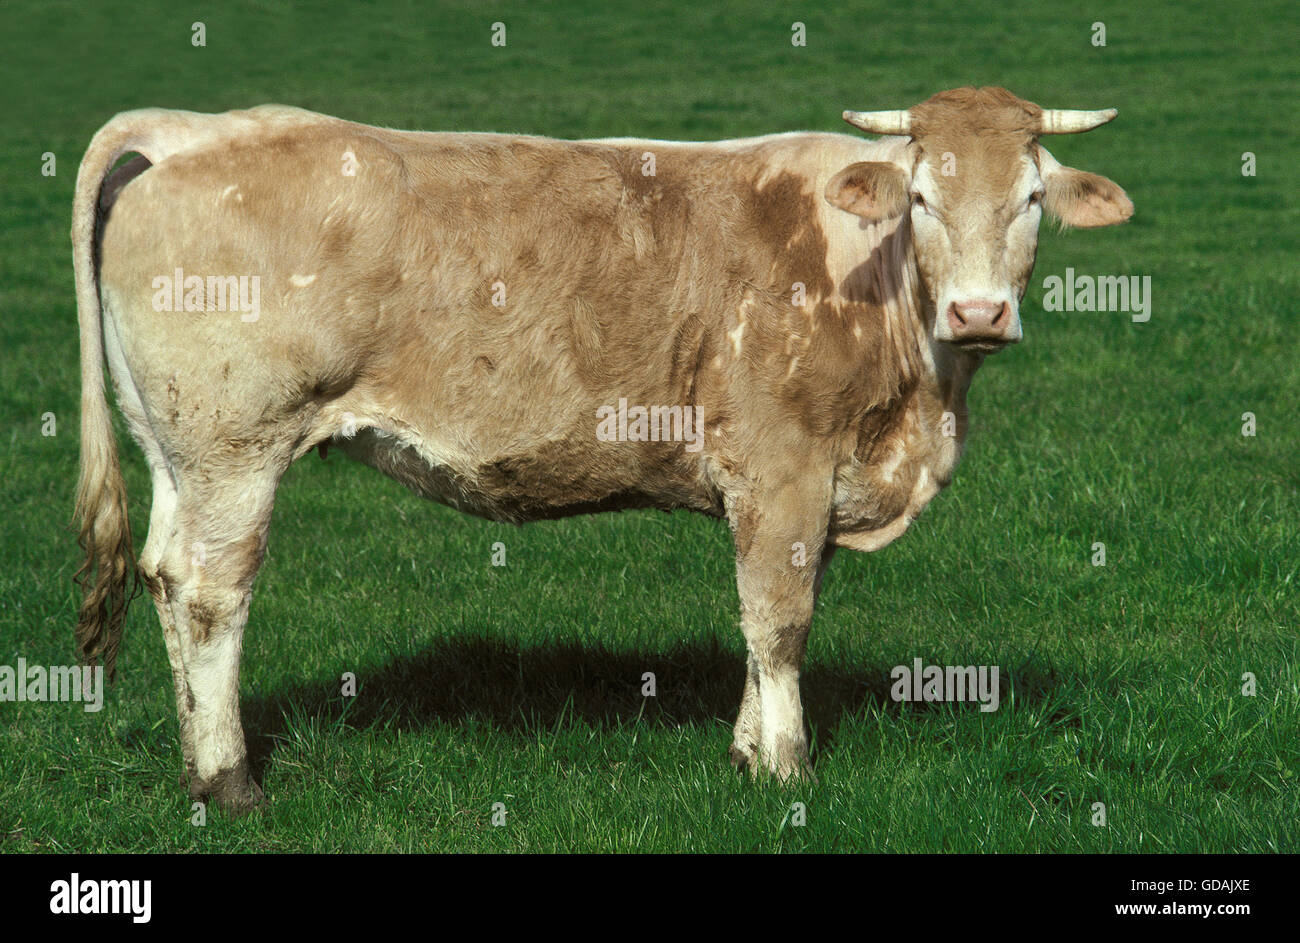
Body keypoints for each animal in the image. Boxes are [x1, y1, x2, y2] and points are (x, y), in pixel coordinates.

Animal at [71, 86, 1133, 811]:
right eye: (919, 198)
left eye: (1032, 196)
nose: (979, 312)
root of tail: (195, 126)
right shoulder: (781, 464)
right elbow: (779, 621)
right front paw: (787, 771)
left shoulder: (813, 487)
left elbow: (771, 618)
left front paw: (745, 752)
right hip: (236, 444)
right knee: (211, 592)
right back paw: (230, 779)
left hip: (177, 449)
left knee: (163, 573)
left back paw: (193, 764)